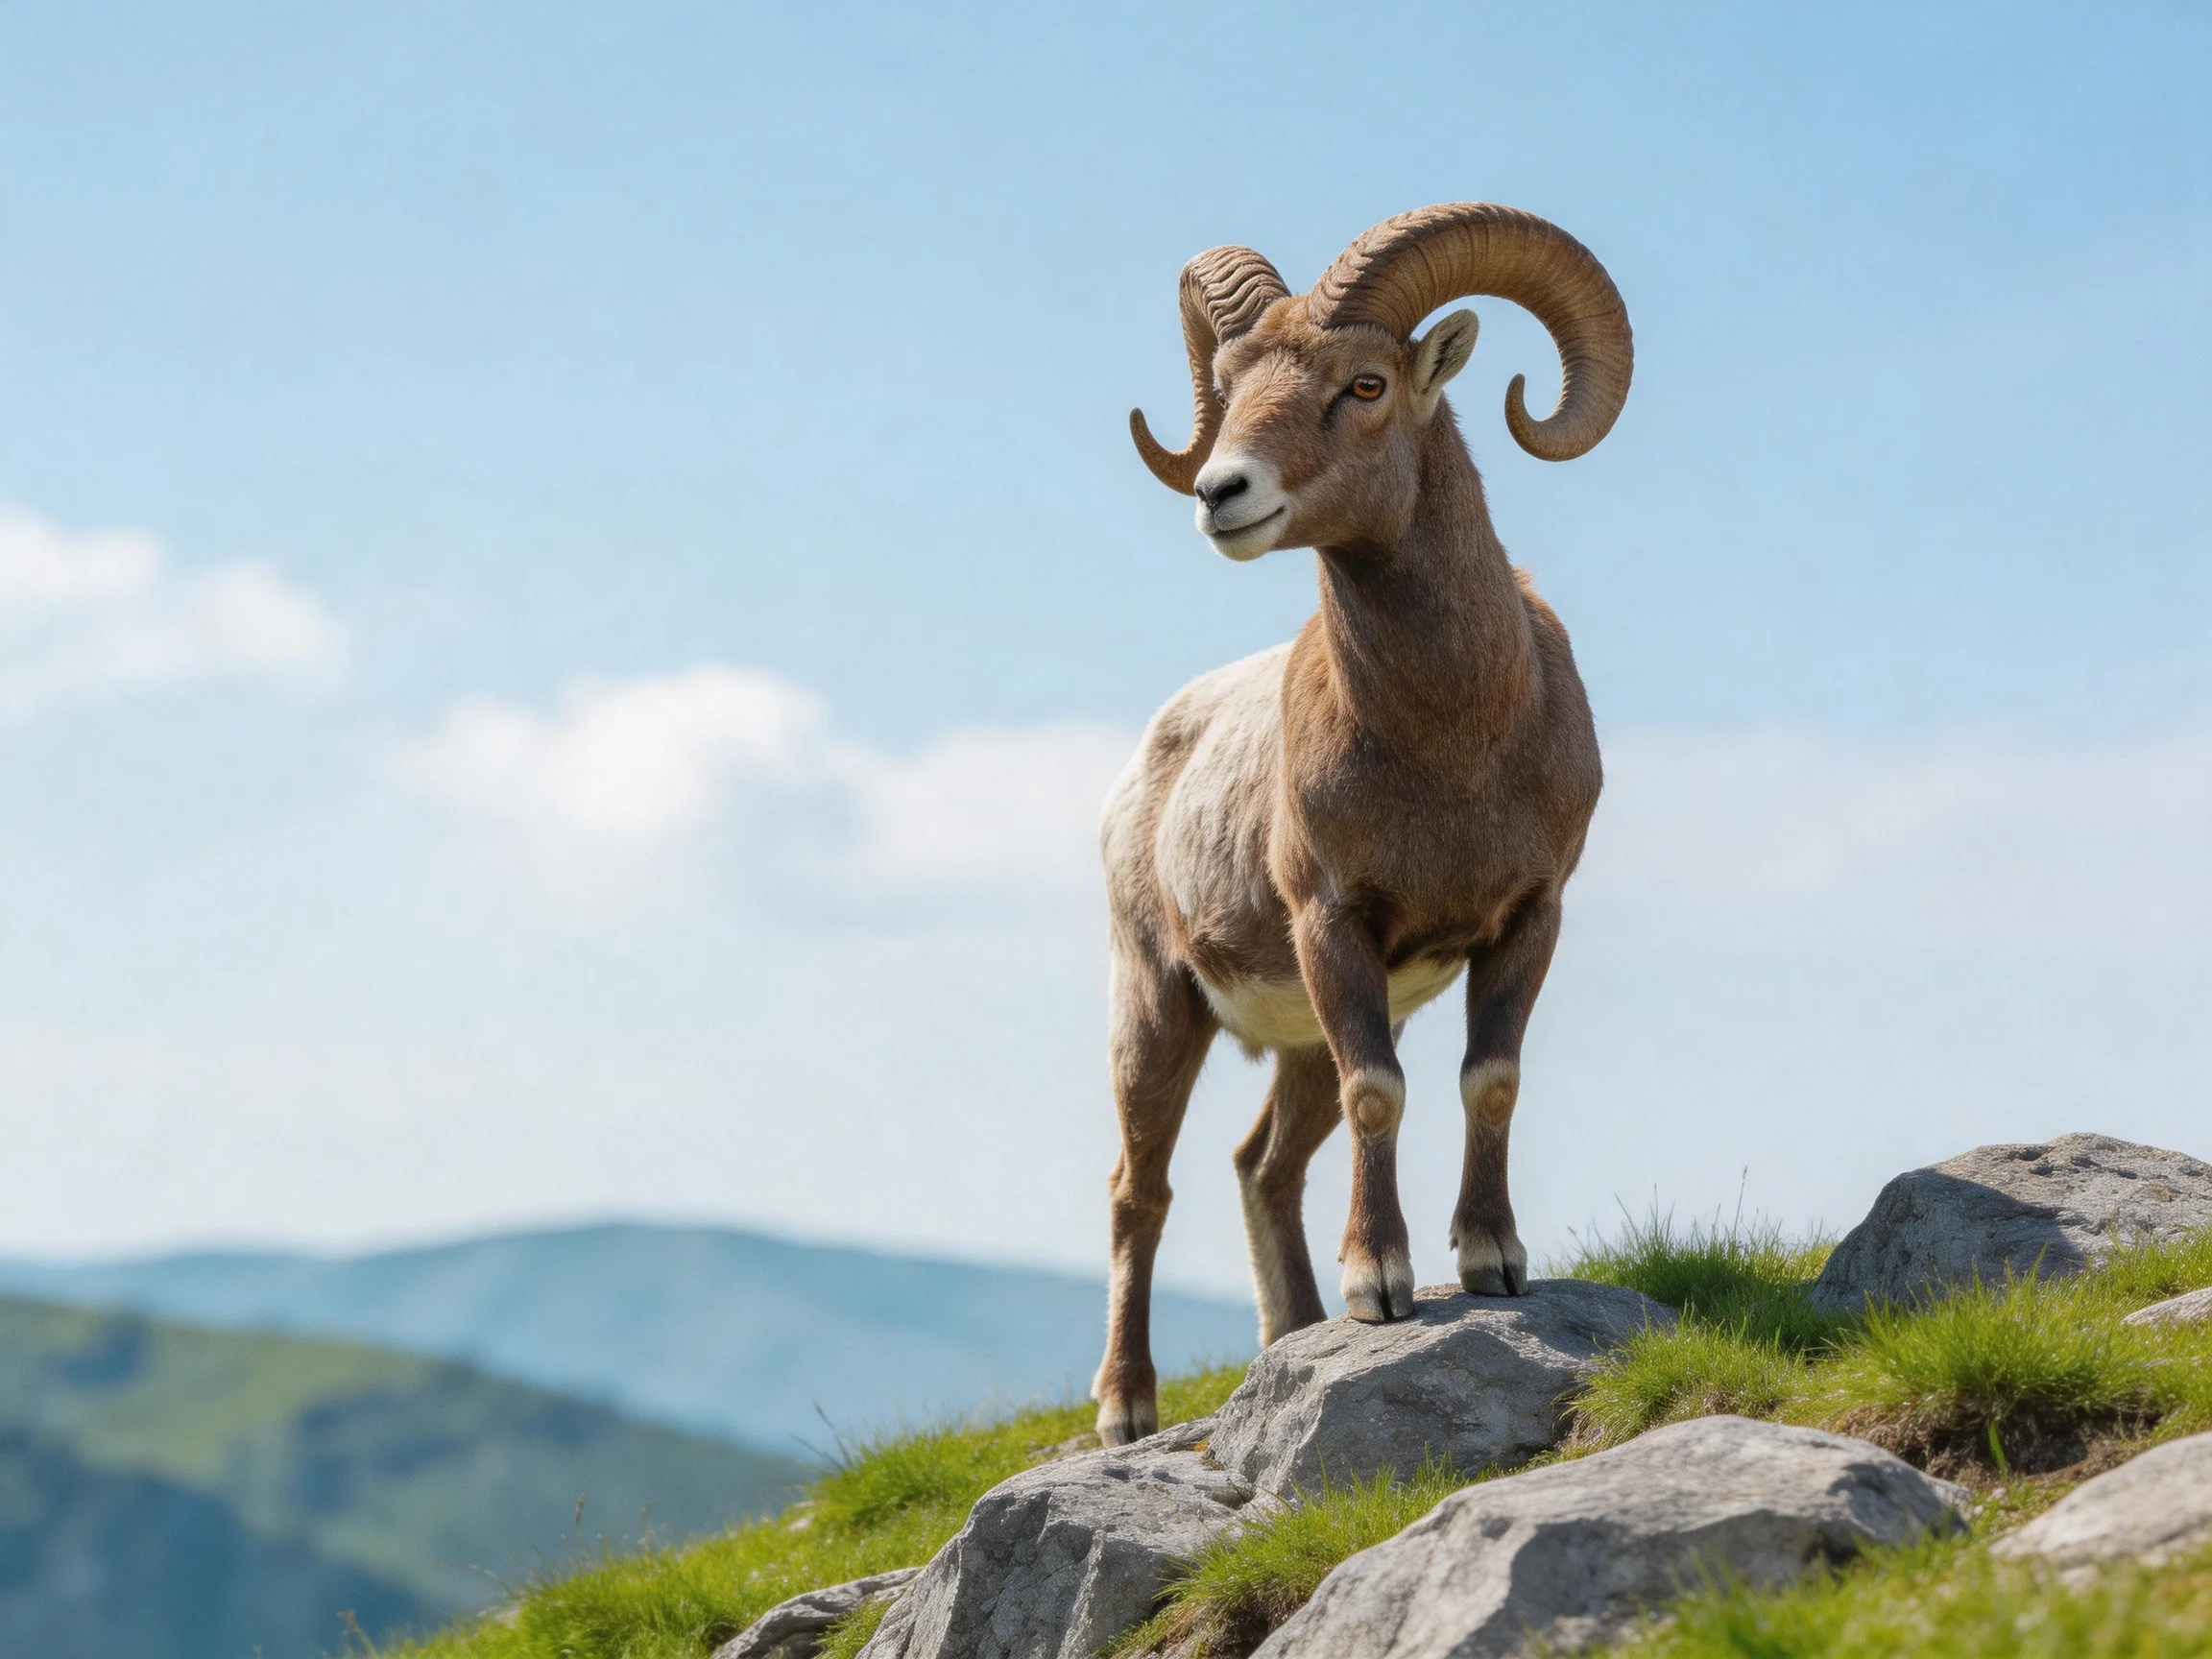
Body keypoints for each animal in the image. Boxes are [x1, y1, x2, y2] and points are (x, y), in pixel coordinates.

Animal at [1092, 204, 1632, 1445]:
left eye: (1367, 384)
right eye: (1231, 386)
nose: (1222, 493)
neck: (1453, 748)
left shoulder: (1528, 920)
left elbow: (1490, 1079)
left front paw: (1490, 1263)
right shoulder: (1334, 926)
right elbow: (1379, 1093)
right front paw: (1379, 1289)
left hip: (1288, 1036)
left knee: (1262, 1164)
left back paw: (1285, 1337)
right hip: (1158, 1006)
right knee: (1142, 1188)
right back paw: (1127, 1410)